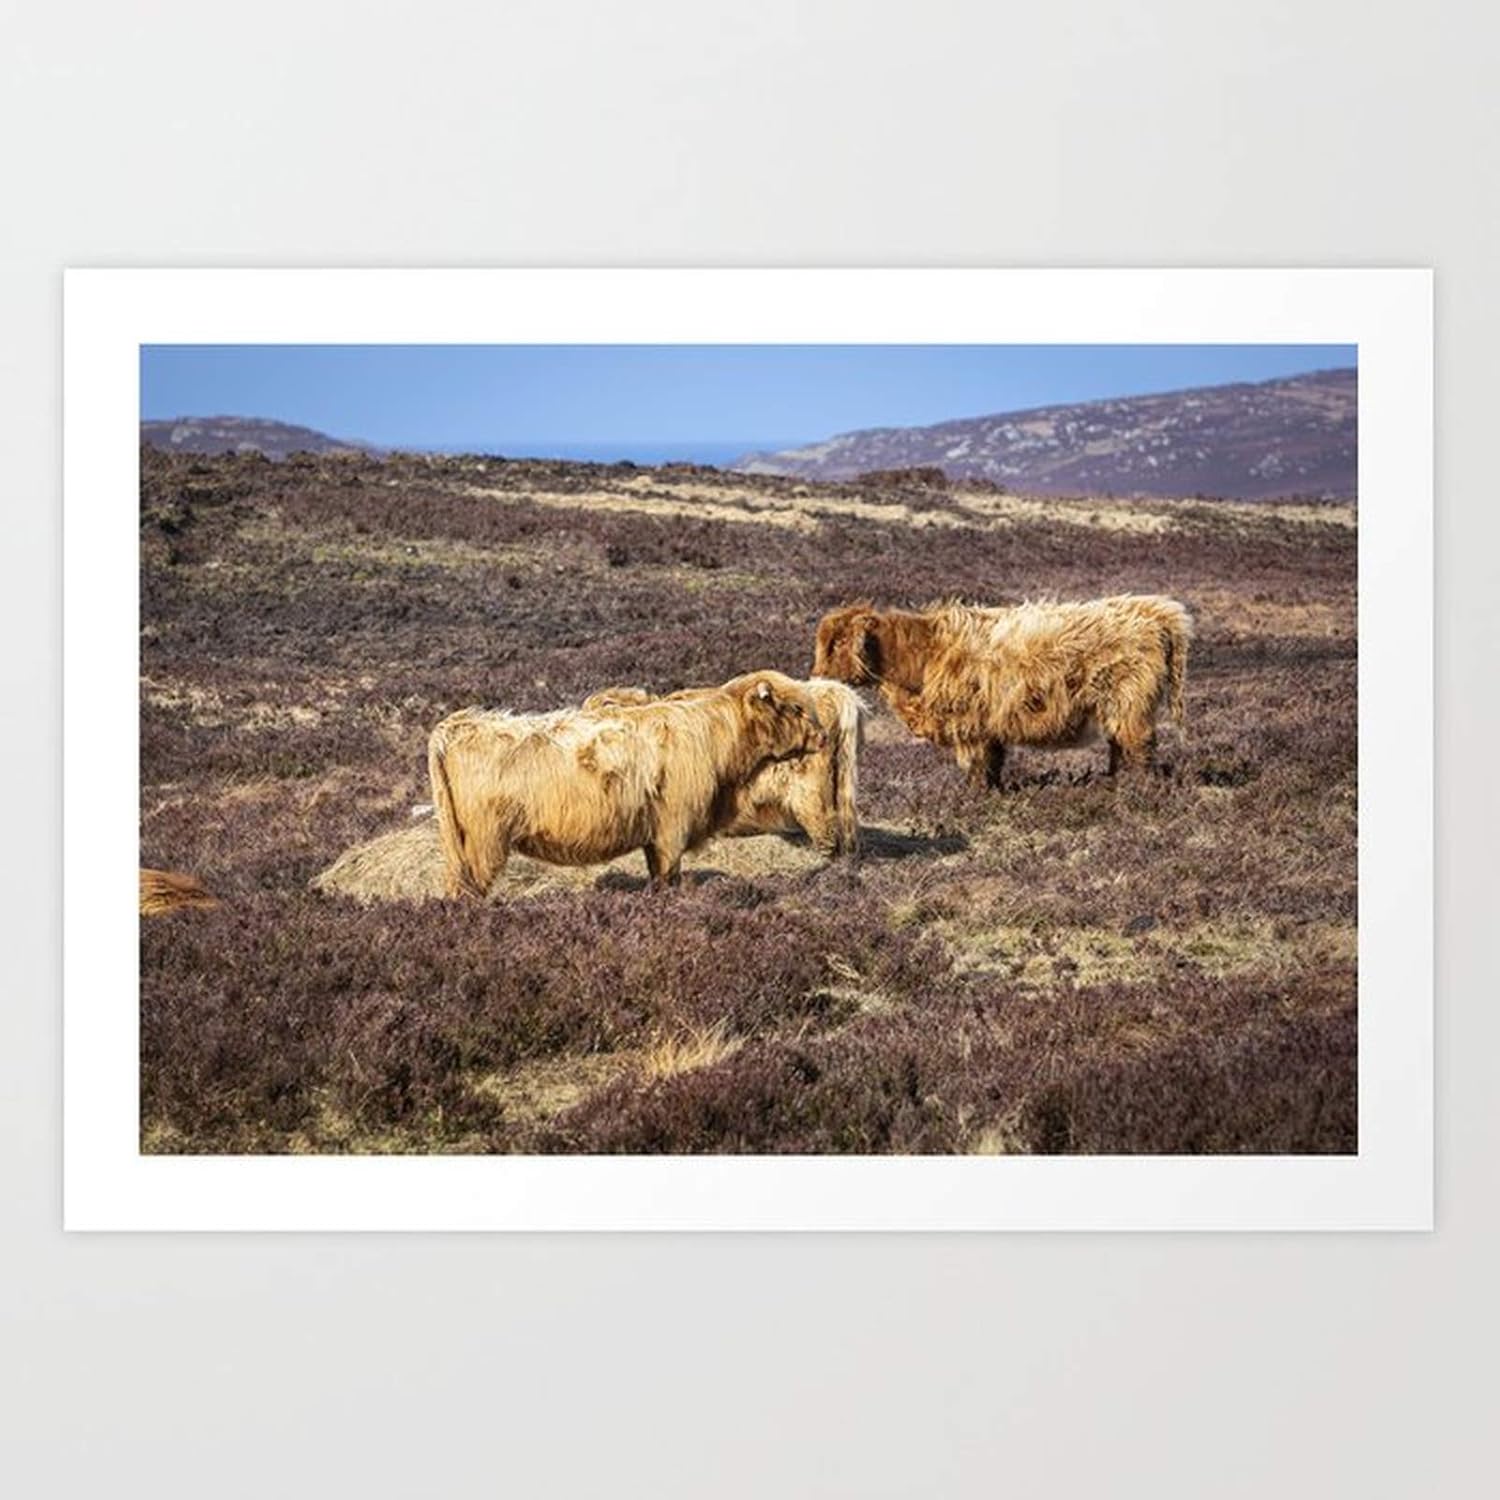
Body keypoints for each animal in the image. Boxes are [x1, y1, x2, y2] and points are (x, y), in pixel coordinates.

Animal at [428, 671, 828, 897]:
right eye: (795, 708)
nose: (823, 736)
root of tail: (459, 724)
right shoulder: (671, 830)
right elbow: (667, 876)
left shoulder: (654, 834)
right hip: (482, 842)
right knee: (468, 890)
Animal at [812, 594, 1191, 787]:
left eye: (837, 644)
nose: (816, 676)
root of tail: (1154, 611)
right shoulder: (989, 727)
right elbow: (993, 764)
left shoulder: (971, 725)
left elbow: (979, 768)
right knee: (1119, 746)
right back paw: (1112, 783)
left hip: (1130, 703)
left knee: (1138, 747)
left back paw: (1135, 789)